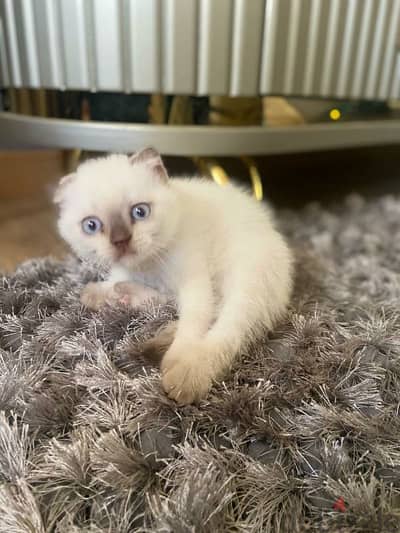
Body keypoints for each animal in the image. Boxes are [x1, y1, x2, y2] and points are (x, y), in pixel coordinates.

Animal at [54, 145, 292, 404]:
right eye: (91, 225)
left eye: (140, 212)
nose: (121, 241)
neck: (149, 266)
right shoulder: (132, 272)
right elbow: (119, 281)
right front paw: (101, 292)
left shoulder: (194, 283)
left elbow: (194, 323)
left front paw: (178, 358)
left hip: (245, 281)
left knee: (226, 330)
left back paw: (185, 374)